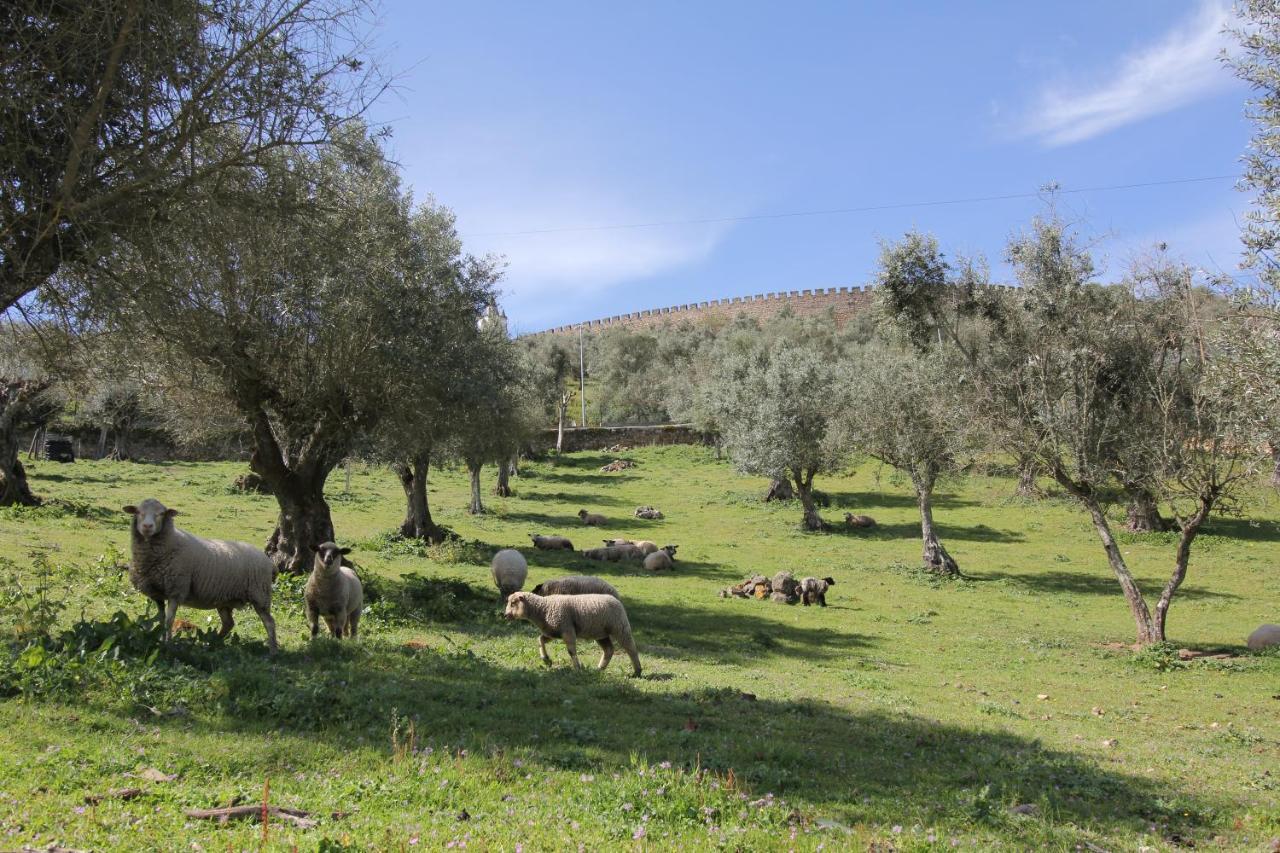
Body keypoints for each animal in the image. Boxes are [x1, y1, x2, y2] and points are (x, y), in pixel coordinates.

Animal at [120, 499, 276, 650]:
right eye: (138, 512)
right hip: (225, 599)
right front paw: (159, 639)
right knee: (228, 623)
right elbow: (161, 619)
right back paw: (212, 643)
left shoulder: (176, 591)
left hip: (260, 595)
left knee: (269, 623)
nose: (147, 526)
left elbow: (169, 621)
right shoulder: (157, 594)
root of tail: (268, 560)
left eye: (161, 514)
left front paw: (167, 643)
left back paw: (272, 651)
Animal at [499, 589, 640, 676]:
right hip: (601, 633)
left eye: (513, 603)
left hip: (620, 627)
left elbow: (571, 651)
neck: (543, 608)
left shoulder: (568, 630)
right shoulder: (553, 632)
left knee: (631, 648)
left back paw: (637, 671)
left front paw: (577, 668)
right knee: (609, 650)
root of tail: (616, 600)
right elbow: (540, 640)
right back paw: (600, 669)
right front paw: (546, 659)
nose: (505, 615)